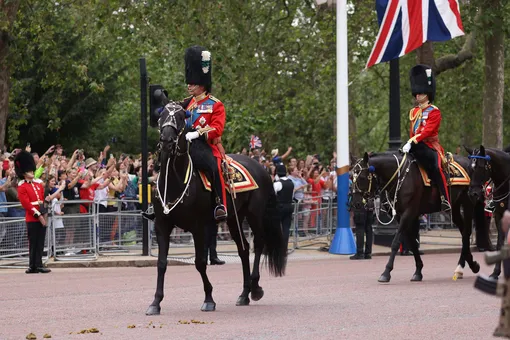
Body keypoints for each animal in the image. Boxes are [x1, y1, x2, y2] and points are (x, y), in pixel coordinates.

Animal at [145, 101, 286, 316]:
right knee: (243, 248)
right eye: (161, 117)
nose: (167, 142)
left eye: (181, 117)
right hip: (234, 218)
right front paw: (155, 302)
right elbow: (161, 264)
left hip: (254, 214)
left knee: (259, 243)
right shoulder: (162, 225)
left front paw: (209, 299)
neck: (176, 181)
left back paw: (255, 288)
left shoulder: (199, 227)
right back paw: (244, 294)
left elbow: (200, 262)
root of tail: (260, 166)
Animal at [350, 151, 490, 282]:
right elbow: (412, 242)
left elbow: (396, 242)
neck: (400, 177)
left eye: (362, 177)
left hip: (467, 203)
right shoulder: (402, 216)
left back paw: (464, 266)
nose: (356, 204)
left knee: (466, 232)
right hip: (454, 208)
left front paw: (386, 272)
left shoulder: (409, 212)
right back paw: (467, 264)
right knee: (463, 232)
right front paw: (418, 271)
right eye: (351, 176)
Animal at [466, 145, 510, 280]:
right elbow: (500, 244)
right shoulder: (499, 216)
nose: (473, 194)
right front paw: (495, 272)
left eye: (480, 167)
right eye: (469, 167)